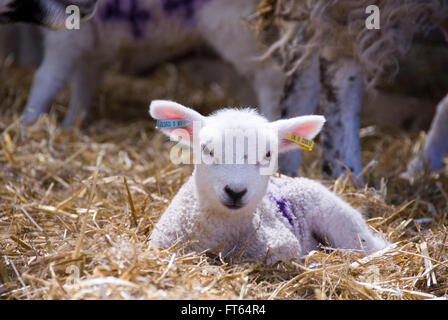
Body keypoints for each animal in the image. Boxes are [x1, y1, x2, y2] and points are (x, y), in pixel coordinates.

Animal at [148, 100, 388, 264]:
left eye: (268, 154)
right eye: (207, 150)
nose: (235, 191)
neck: (220, 232)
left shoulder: (283, 242)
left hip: (341, 222)